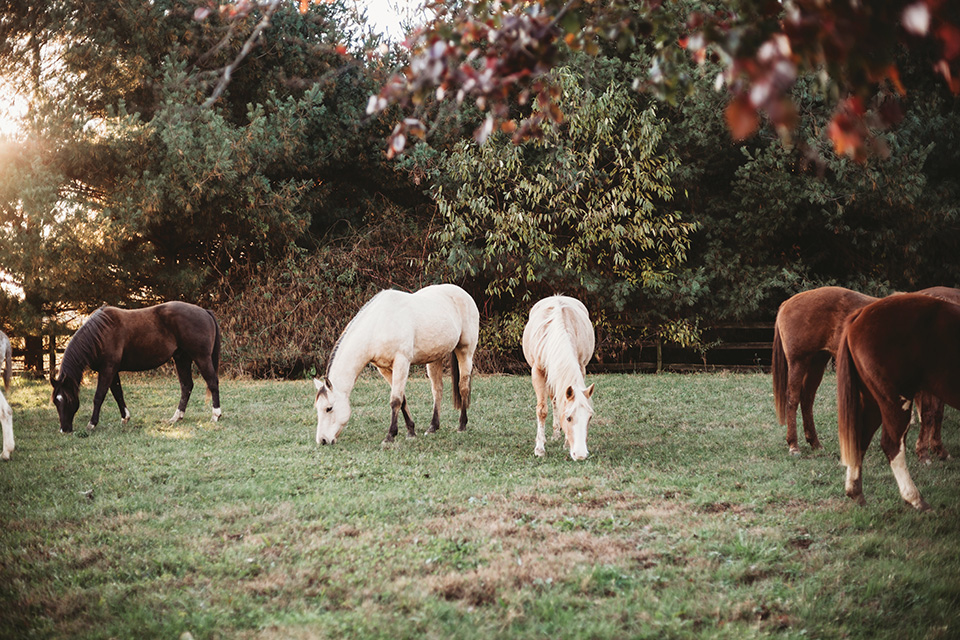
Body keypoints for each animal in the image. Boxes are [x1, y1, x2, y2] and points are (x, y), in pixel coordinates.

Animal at [51, 302, 221, 432]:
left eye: (68, 399)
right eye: (56, 402)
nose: (64, 429)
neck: (100, 334)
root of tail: (205, 311)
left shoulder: (107, 370)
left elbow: (99, 396)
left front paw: (92, 424)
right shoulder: (112, 371)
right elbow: (118, 394)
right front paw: (125, 418)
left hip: (201, 357)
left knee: (212, 382)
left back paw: (215, 415)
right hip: (182, 358)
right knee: (186, 386)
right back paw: (176, 417)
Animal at [316, 284, 480, 444]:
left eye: (329, 408)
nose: (323, 440)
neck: (378, 324)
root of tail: (464, 293)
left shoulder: (402, 362)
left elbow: (395, 400)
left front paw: (390, 436)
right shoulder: (384, 369)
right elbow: (402, 399)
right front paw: (411, 431)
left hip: (465, 351)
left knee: (463, 387)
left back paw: (462, 425)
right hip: (435, 358)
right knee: (437, 390)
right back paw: (433, 427)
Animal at [520, 296, 596, 460]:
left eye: (589, 417)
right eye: (568, 418)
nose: (580, 455)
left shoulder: (581, 367)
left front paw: (566, 443)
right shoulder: (538, 372)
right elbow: (542, 410)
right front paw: (539, 448)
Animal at [836, 294, 960, 510]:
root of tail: (861, 314)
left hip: (873, 403)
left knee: (860, 440)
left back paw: (855, 491)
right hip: (895, 402)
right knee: (892, 446)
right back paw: (915, 498)